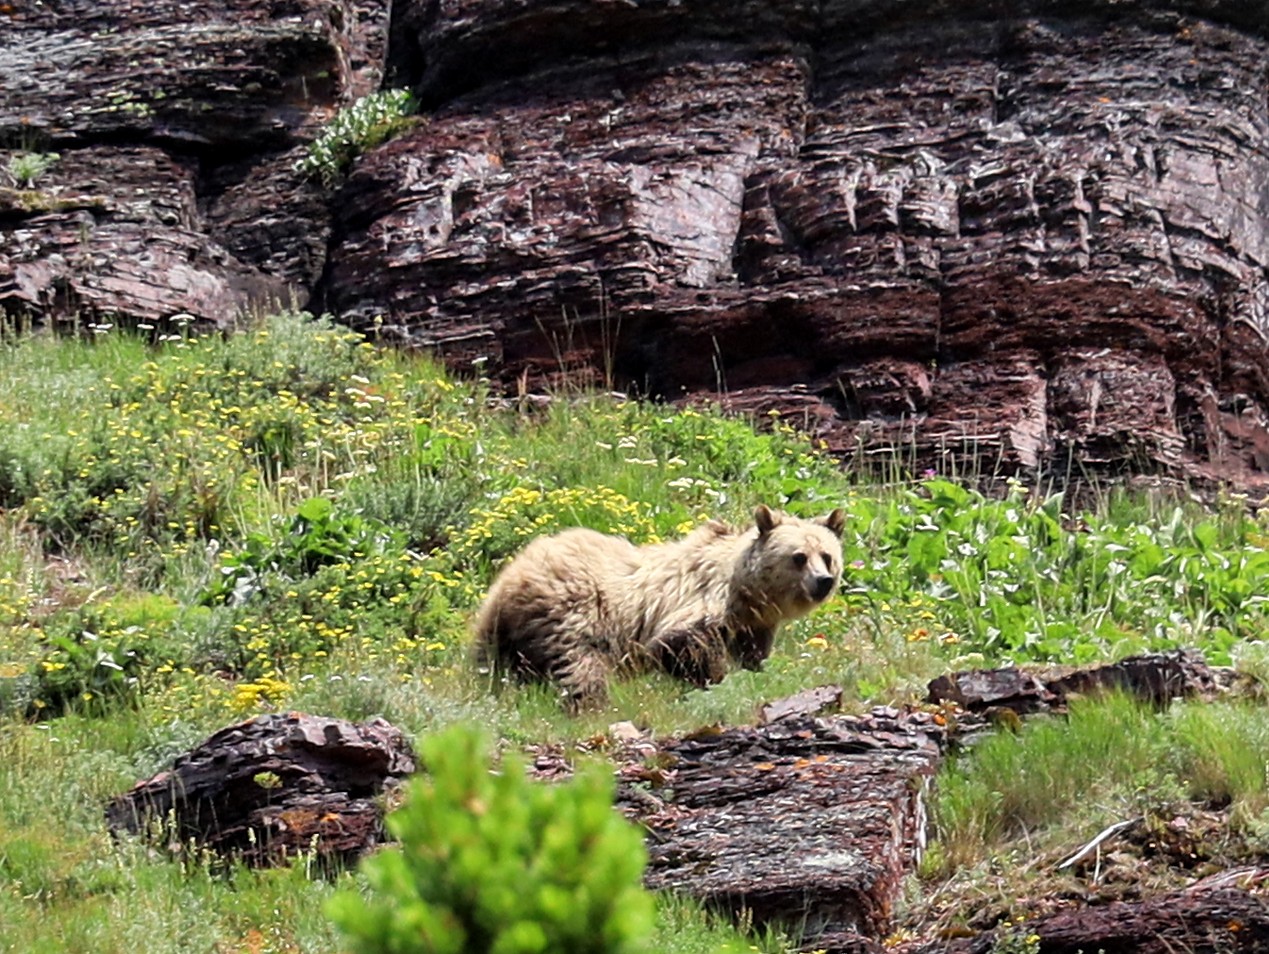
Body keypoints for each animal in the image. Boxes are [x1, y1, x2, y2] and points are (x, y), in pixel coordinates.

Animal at [474, 507, 842, 710]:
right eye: (799, 557)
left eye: (827, 555)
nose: (823, 581)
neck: (747, 593)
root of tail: (509, 577)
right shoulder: (699, 603)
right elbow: (683, 642)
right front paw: (715, 679)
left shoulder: (753, 624)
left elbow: (753, 654)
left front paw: (754, 671)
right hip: (572, 612)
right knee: (582, 665)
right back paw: (592, 706)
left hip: (500, 634)